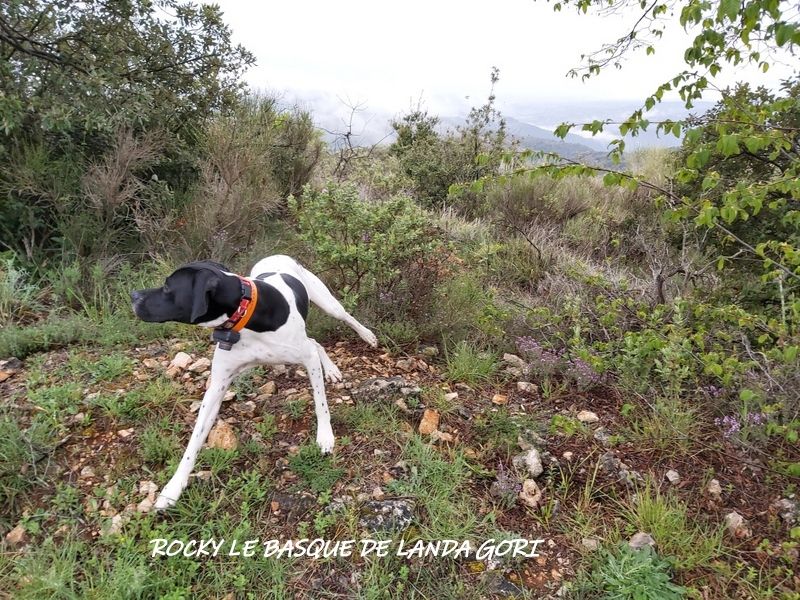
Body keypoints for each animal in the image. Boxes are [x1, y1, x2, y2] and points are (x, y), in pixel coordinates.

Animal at [132, 254, 378, 510]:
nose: (133, 295)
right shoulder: (217, 386)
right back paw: (331, 369)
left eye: (168, 287)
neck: (245, 314)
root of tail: (276, 255)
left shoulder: (307, 358)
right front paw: (173, 488)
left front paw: (325, 436)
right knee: (315, 341)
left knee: (344, 317)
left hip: (326, 302)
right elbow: (194, 441)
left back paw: (366, 338)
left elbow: (321, 404)